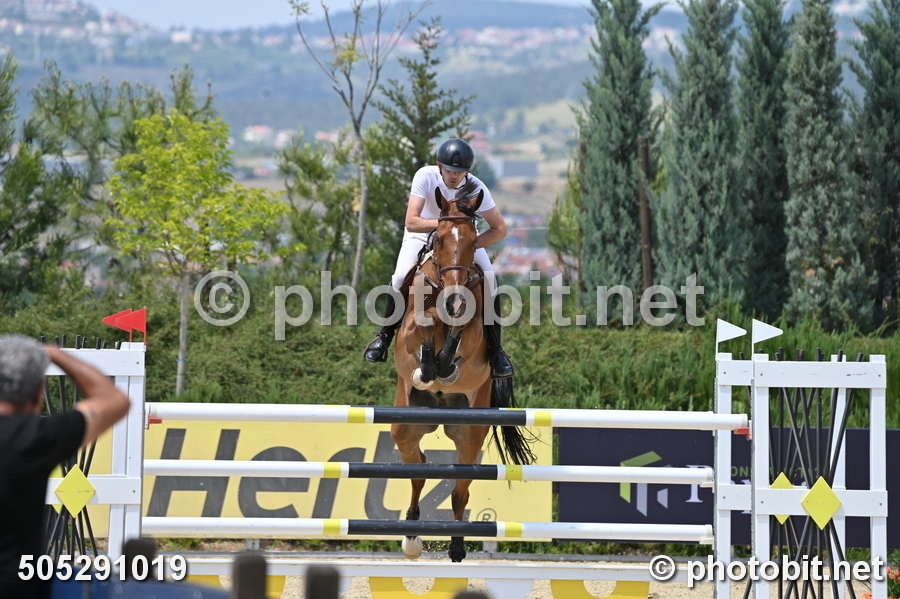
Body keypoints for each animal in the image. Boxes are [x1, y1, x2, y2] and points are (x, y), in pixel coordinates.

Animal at [390, 182, 535, 563]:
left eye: (473, 240)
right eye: (439, 239)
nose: (455, 299)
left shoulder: (471, 334)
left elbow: (457, 335)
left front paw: (444, 362)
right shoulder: (410, 329)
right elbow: (423, 327)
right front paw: (428, 365)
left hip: (469, 431)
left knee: (459, 488)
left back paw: (456, 545)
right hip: (404, 426)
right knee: (418, 471)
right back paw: (412, 539)